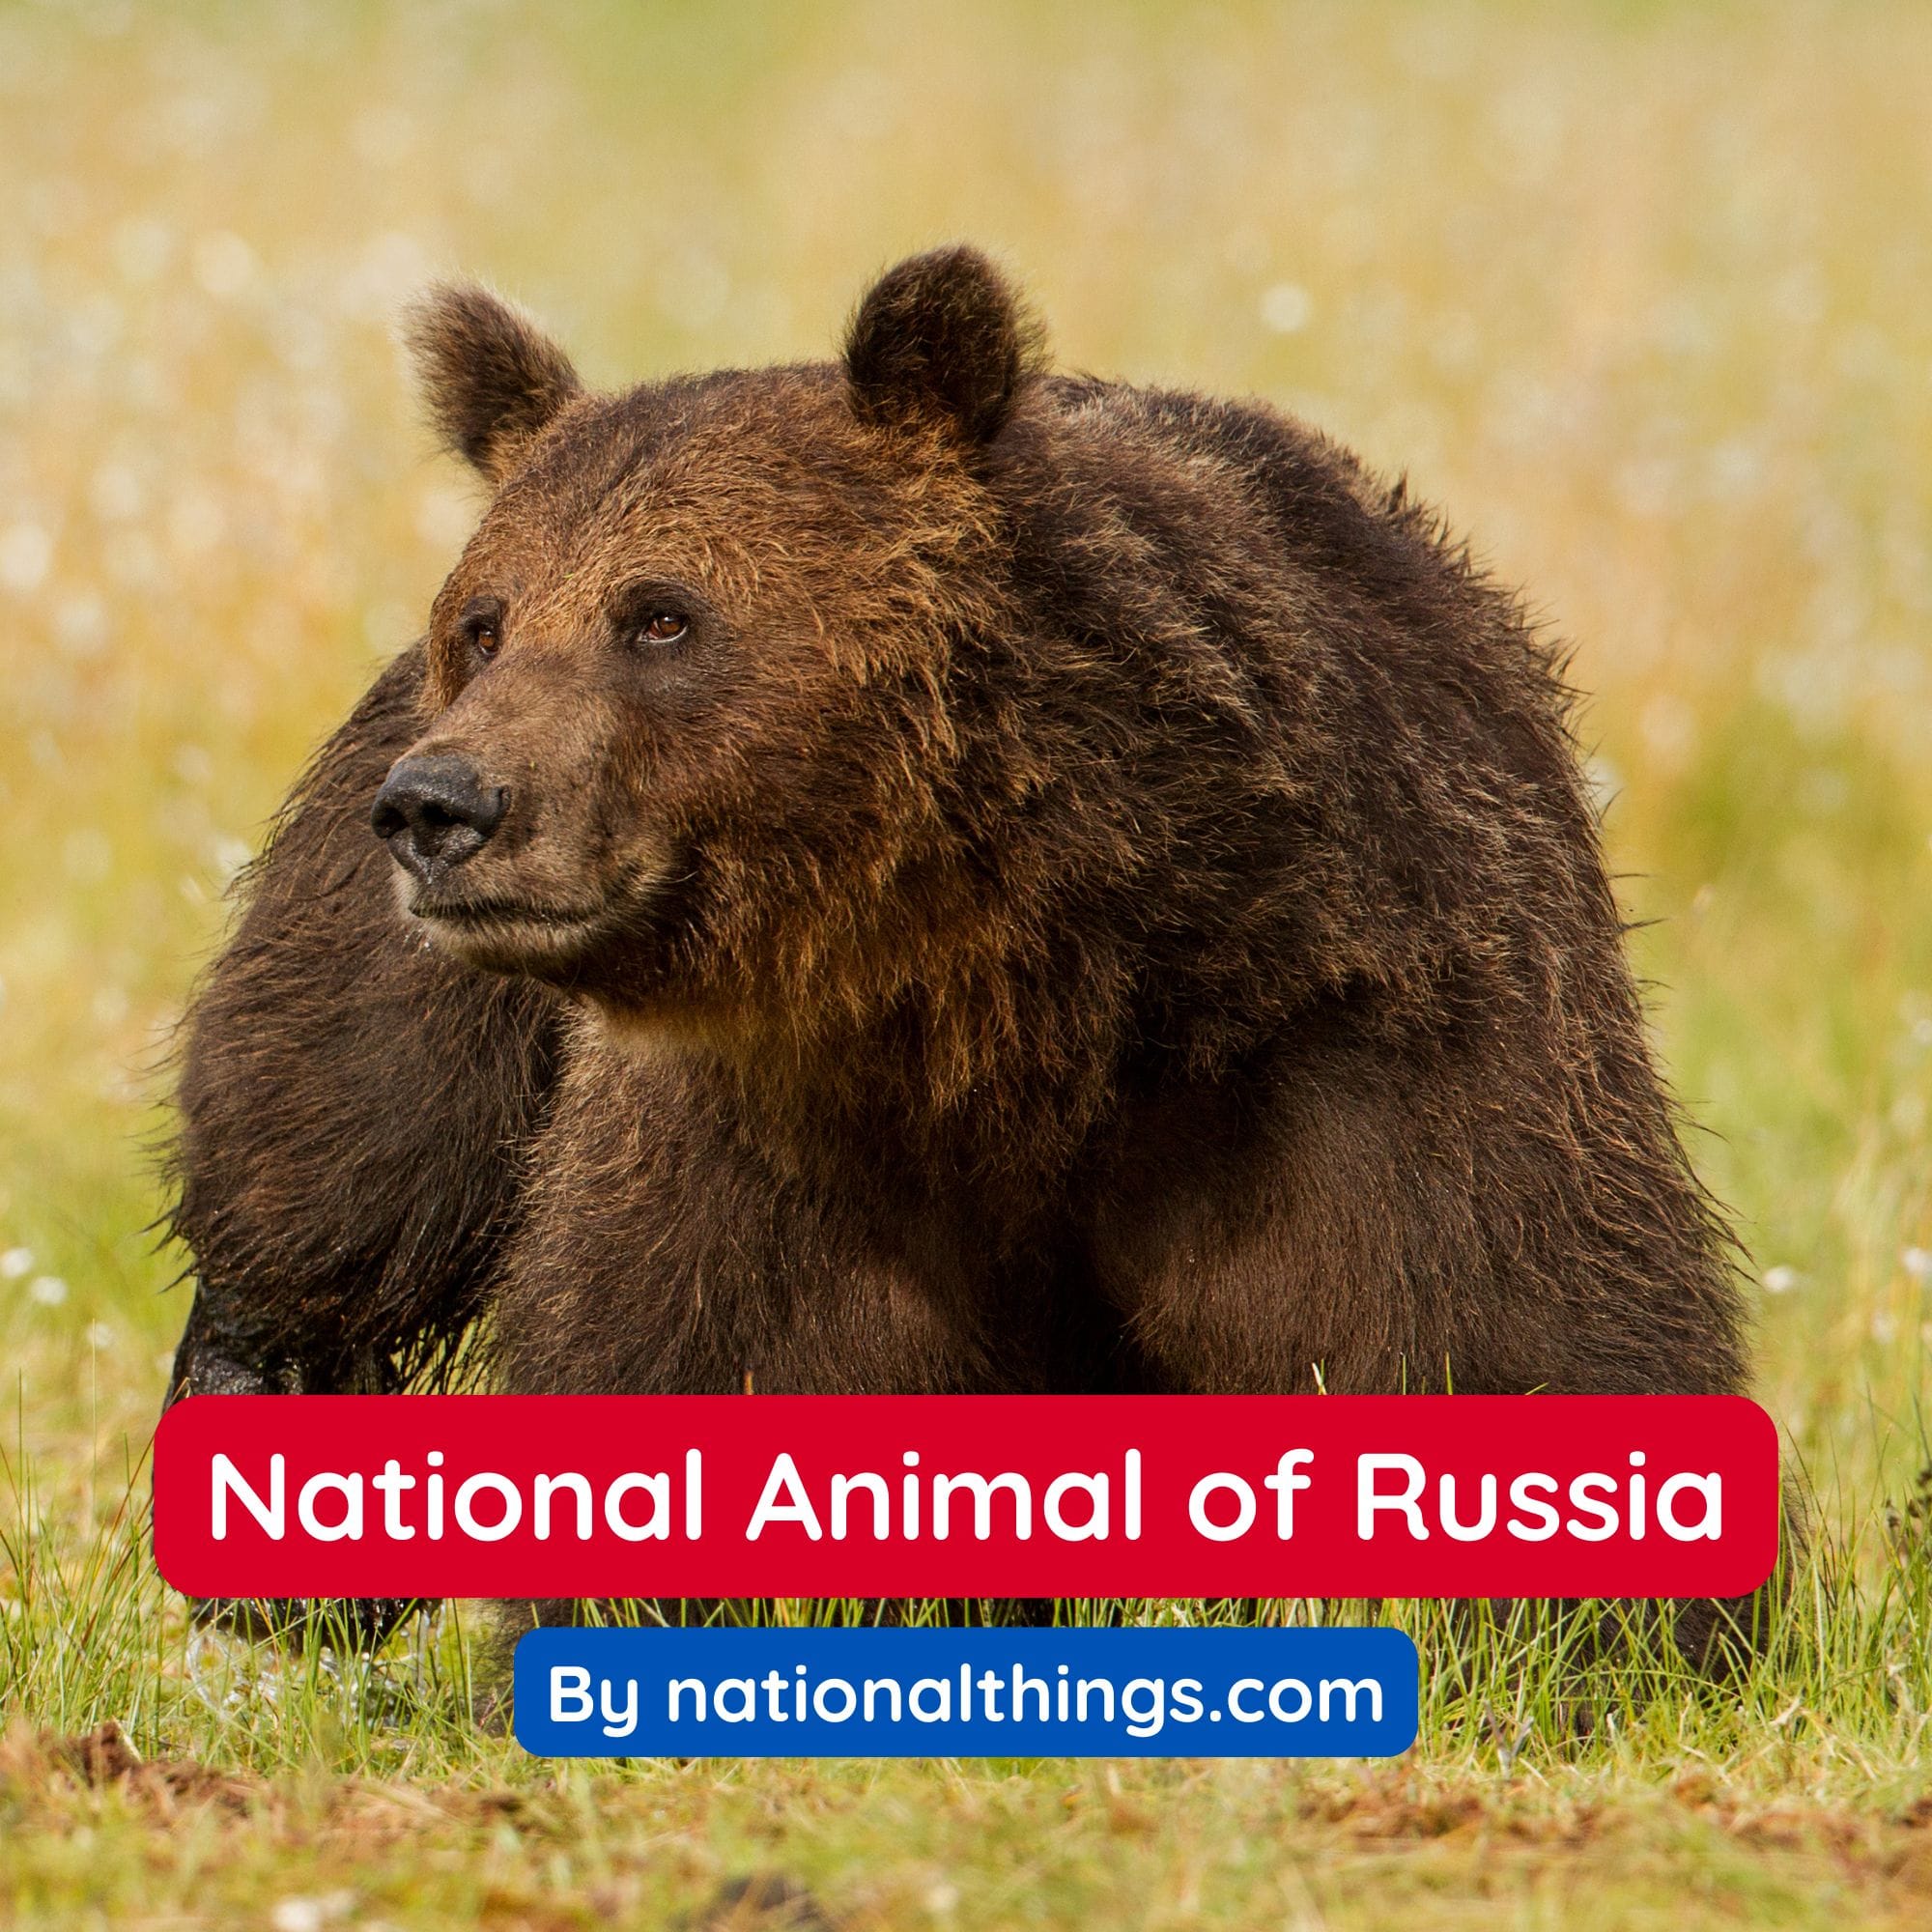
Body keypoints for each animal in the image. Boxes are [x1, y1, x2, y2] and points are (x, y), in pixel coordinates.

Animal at [163, 246, 1756, 1651]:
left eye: (660, 614)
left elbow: (1506, 1318)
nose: (445, 806)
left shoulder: (1364, 1018)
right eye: (488, 621)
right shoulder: (768, 1124)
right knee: (340, 1136)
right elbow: (700, 1354)